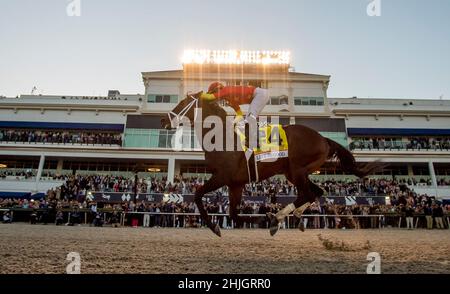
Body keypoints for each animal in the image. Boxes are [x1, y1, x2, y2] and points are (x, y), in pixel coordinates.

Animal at [162, 94, 380, 237]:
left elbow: (198, 195)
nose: (163, 119)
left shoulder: (222, 176)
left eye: (182, 102)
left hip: (297, 170)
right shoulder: (236, 183)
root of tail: (323, 139)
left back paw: (278, 217)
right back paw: (288, 217)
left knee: (308, 193)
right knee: (315, 192)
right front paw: (257, 219)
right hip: (296, 172)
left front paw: (216, 226)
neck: (222, 138)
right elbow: (233, 213)